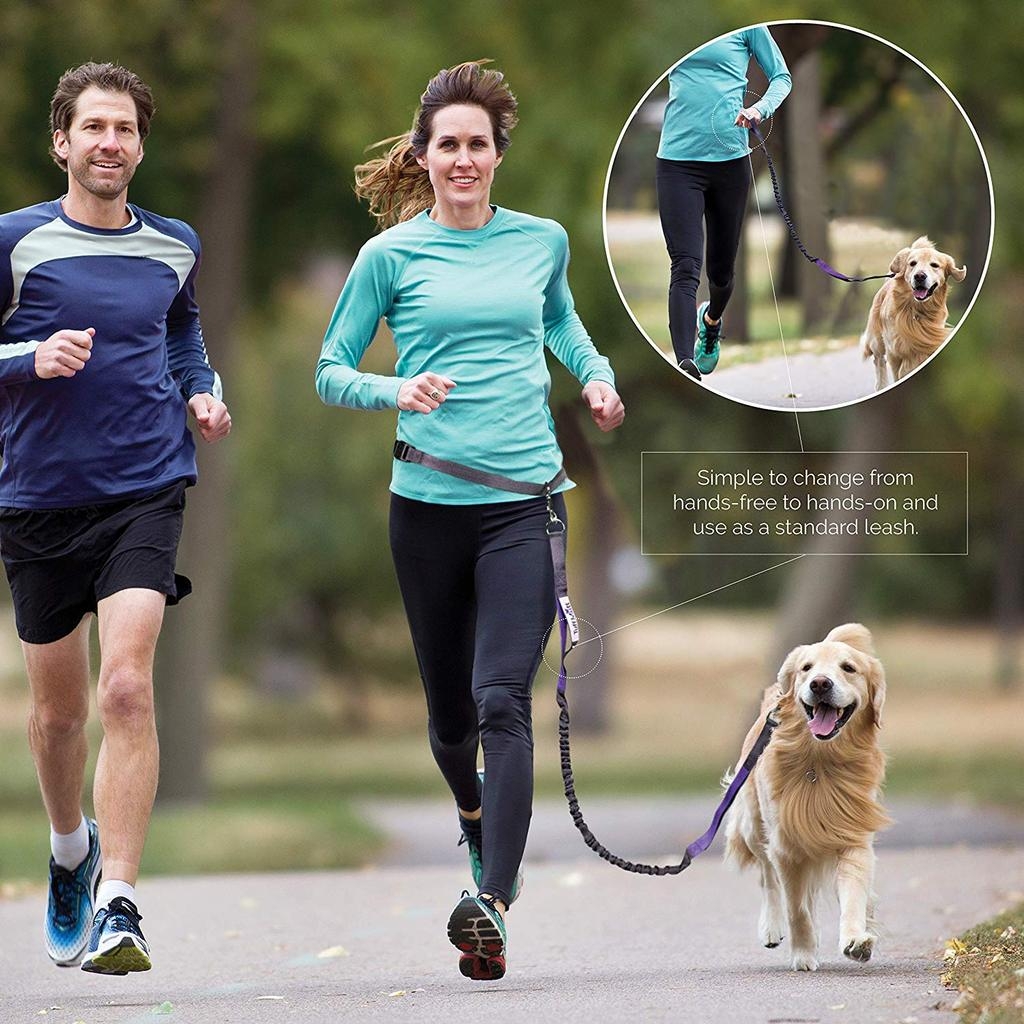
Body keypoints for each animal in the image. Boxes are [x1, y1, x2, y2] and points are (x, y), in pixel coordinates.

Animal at [729, 622, 888, 966]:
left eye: (849, 668)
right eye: (807, 668)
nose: (820, 683)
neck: (819, 762)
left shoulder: (853, 836)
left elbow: (853, 894)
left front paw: (856, 939)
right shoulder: (786, 848)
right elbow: (796, 908)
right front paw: (803, 953)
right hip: (753, 826)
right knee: (767, 878)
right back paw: (772, 927)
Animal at [864, 237, 966, 389]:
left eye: (934, 265)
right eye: (912, 263)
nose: (919, 276)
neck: (915, 309)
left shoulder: (927, 341)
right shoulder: (894, 351)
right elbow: (898, 371)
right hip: (877, 341)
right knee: (879, 360)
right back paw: (881, 386)